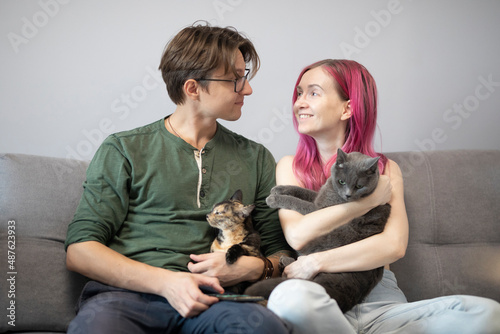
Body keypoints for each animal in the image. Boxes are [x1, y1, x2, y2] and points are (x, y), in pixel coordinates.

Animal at [244, 149, 392, 314]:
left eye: (359, 185)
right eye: (342, 181)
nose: (348, 195)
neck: (333, 191)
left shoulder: (316, 209)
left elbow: (297, 201)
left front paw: (274, 199)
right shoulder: (318, 197)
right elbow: (302, 191)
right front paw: (279, 189)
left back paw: (285, 261)